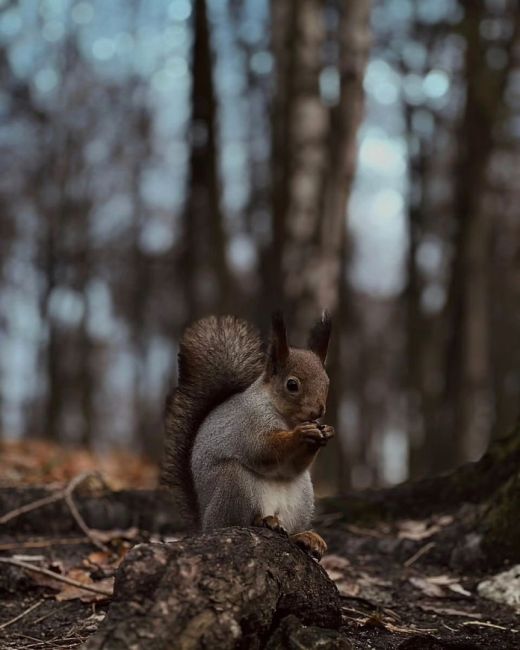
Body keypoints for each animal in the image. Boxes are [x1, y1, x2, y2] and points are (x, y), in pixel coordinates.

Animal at [160, 308, 336, 556]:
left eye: (327, 382)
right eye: (292, 385)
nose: (319, 410)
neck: (287, 418)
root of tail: (204, 525)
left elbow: (293, 466)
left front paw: (326, 432)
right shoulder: (249, 423)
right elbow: (263, 449)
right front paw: (301, 435)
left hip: (302, 496)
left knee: (289, 533)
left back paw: (305, 537)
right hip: (233, 484)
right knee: (239, 522)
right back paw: (264, 521)